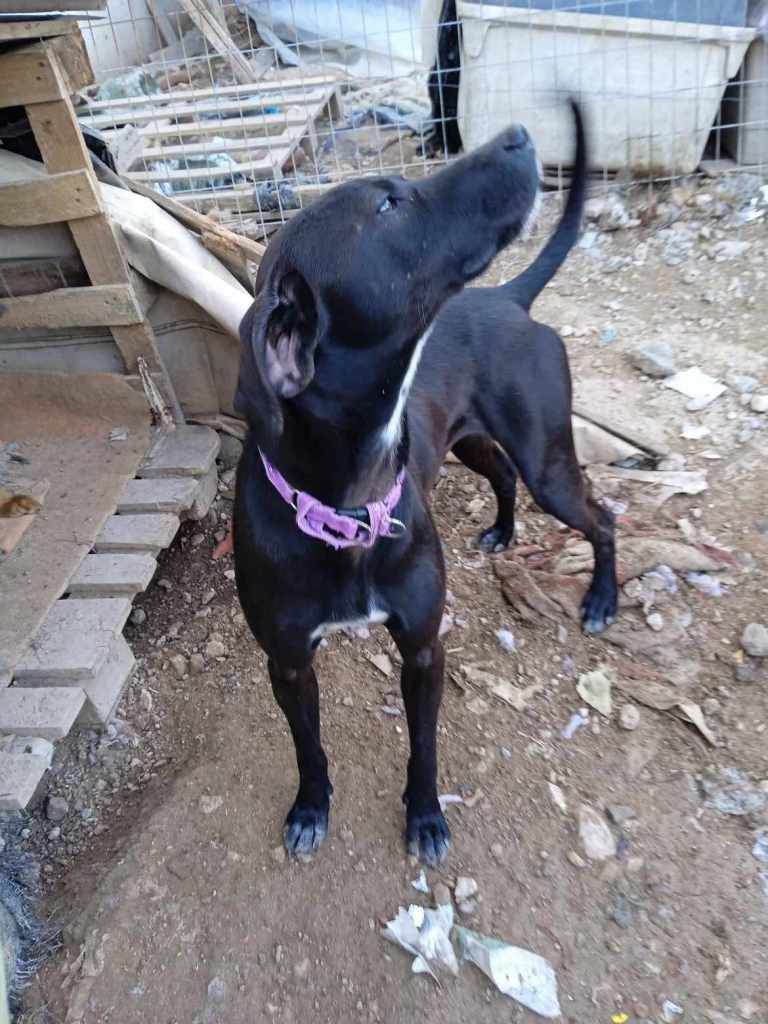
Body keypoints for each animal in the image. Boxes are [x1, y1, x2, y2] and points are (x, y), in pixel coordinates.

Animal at [233, 100, 618, 866]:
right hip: (472, 444)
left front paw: (426, 816)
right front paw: (311, 807)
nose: (518, 135)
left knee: (604, 516)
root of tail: (508, 298)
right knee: (508, 477)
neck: (346, 509)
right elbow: (309, 748)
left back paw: (601, 598)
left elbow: (425, 745)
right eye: (389, 205)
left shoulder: (422, 649)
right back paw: (505, 532)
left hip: (547, 461)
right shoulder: (286, 666)